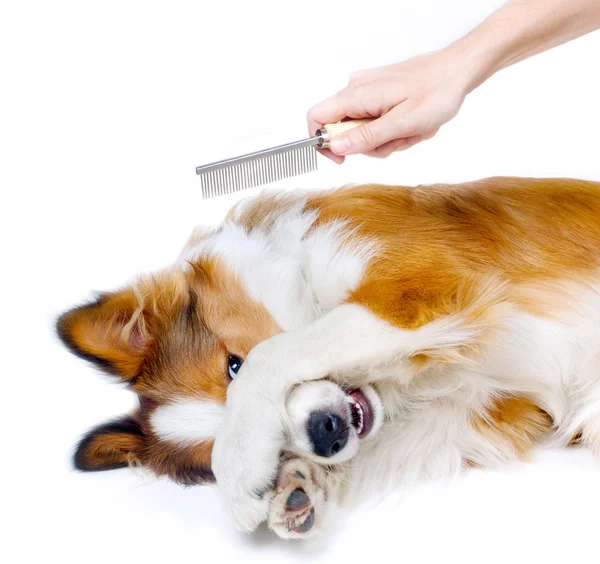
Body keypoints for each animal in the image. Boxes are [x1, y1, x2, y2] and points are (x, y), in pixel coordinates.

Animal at [58, 176, 600, 536]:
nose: (325, 432)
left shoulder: (420, 292)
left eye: (233, 365)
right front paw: (295, 487)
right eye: (278, 449)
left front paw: (238, 476)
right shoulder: (484, 408)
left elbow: (276, 350)